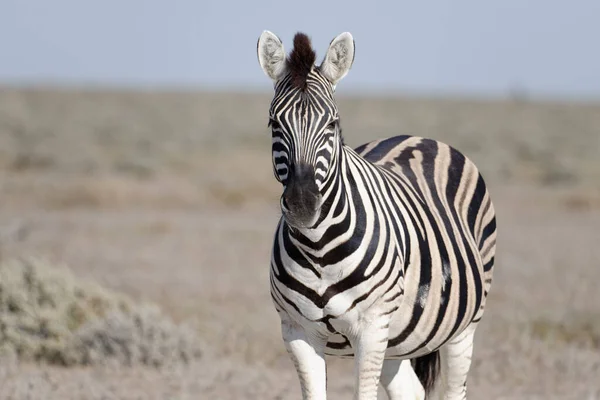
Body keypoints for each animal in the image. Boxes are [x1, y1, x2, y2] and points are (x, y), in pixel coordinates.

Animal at [258, 32, 496, 400]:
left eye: (333, 124)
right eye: (274, 123)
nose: (302, 206)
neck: (318, 249)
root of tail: (419, 138)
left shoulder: (370, 329)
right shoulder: (297, 331)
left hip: (464, 325)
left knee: (456, 388)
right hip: (397, 339)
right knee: (410, 390)